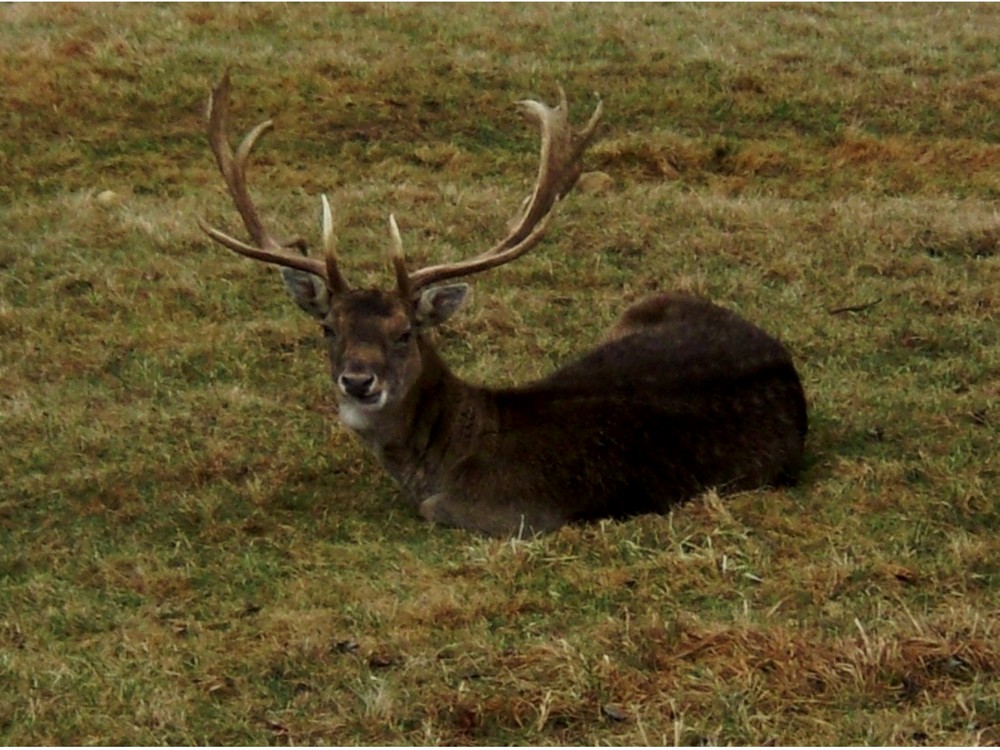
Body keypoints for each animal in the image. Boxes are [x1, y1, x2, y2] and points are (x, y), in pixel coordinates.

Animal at [199, 73, 808, 536]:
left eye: (405, 333)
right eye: (328, 328)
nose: (357, 381)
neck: (451, 453)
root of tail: (782, 356)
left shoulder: (514, 513)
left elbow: (435, 509)